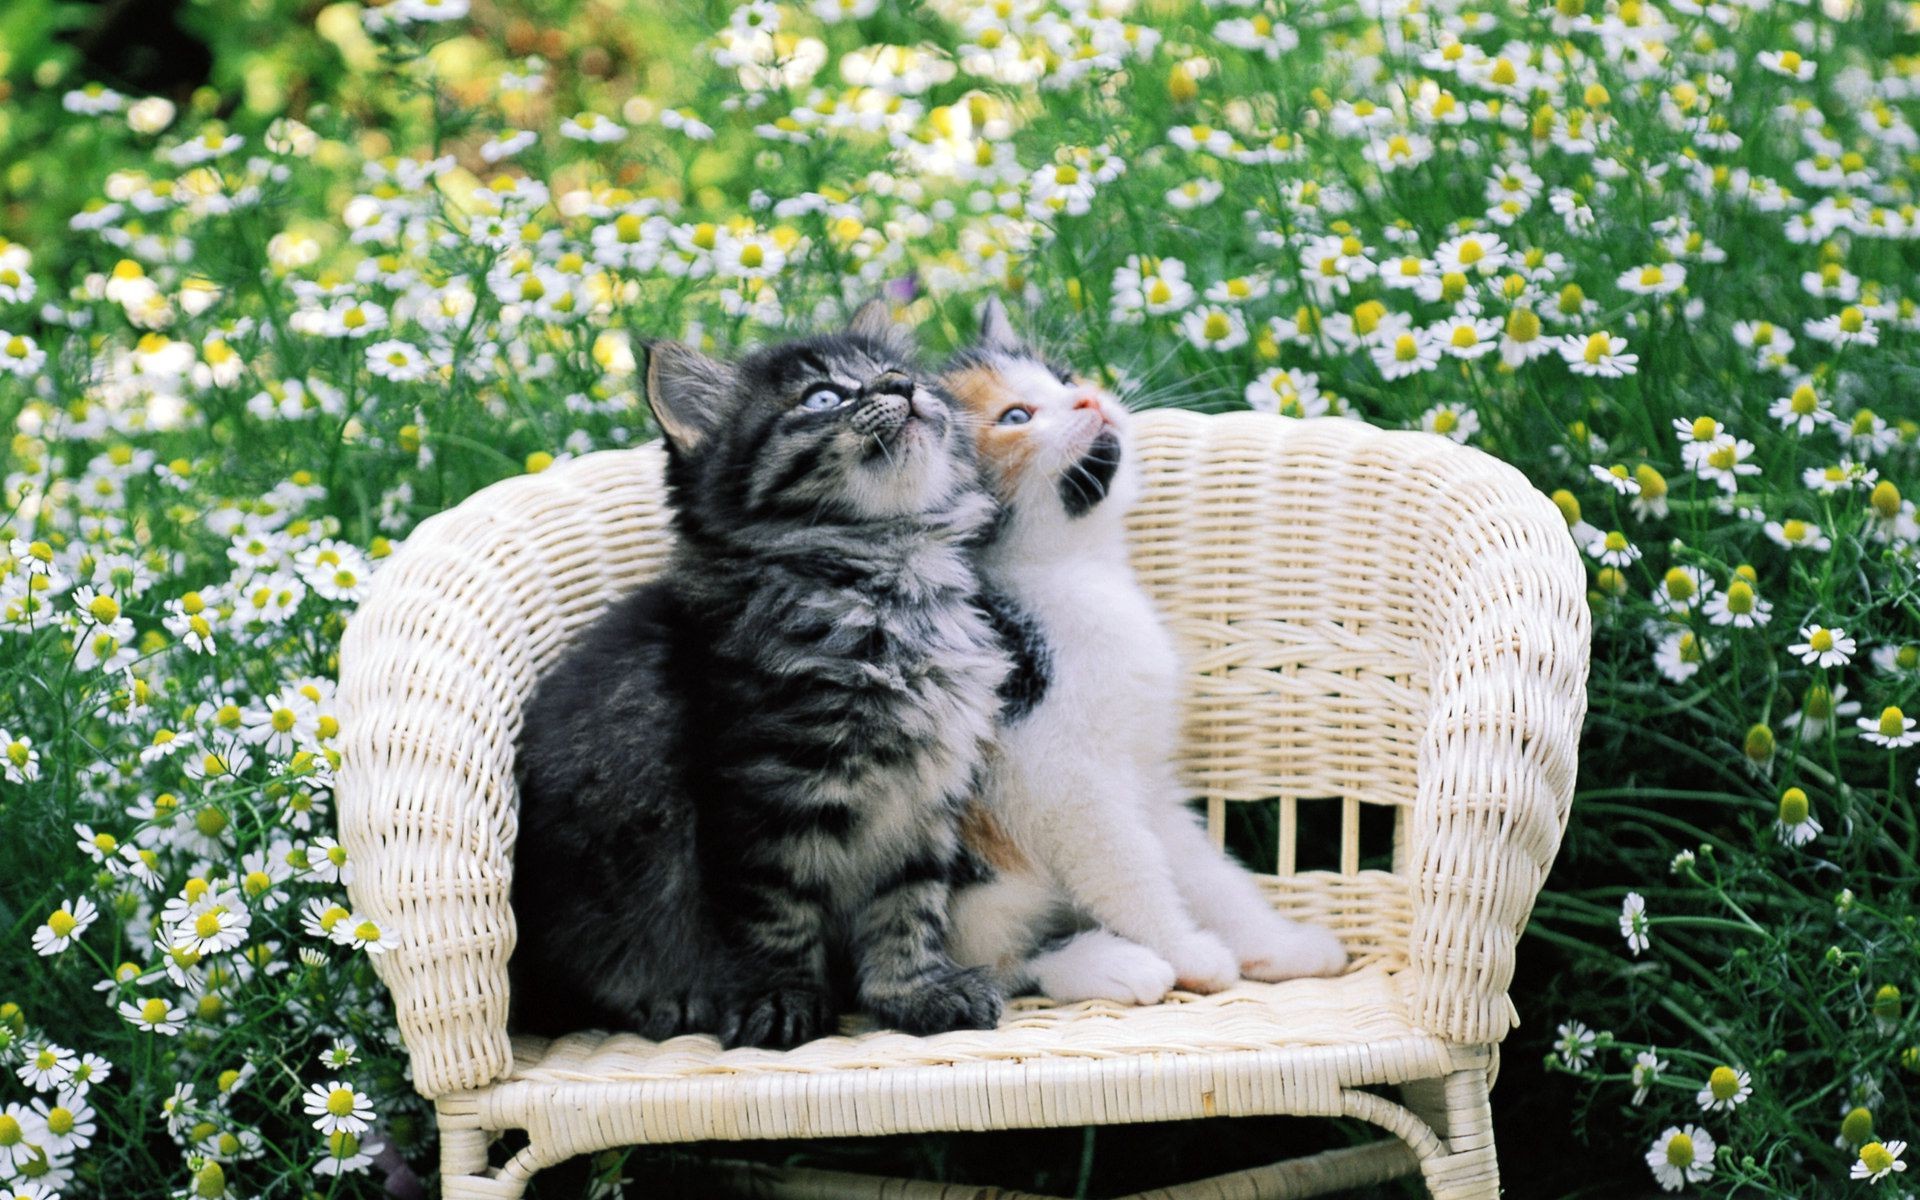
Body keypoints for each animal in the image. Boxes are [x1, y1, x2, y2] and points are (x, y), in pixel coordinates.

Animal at [510, 303, 1021, 1044]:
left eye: (899, 371)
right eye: (823, 399)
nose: (900, 387)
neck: (889, 585)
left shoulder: (924, 802)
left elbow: (907, 909)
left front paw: (915, 993)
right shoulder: (757, 803)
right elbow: (773, 919)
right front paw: (780, 1002)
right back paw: (669, 1002)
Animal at [936, 299, 1344, 998]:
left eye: (1064, 378)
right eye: (1016, 417)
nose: (1090, 400)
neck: (1078, 569)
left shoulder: (1146, 774)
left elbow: (1203, 868)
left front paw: (1276, 945)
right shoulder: (1059, 775)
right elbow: (1127, 867)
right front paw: (1188, 952)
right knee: (993, 965)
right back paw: (1113, 964)